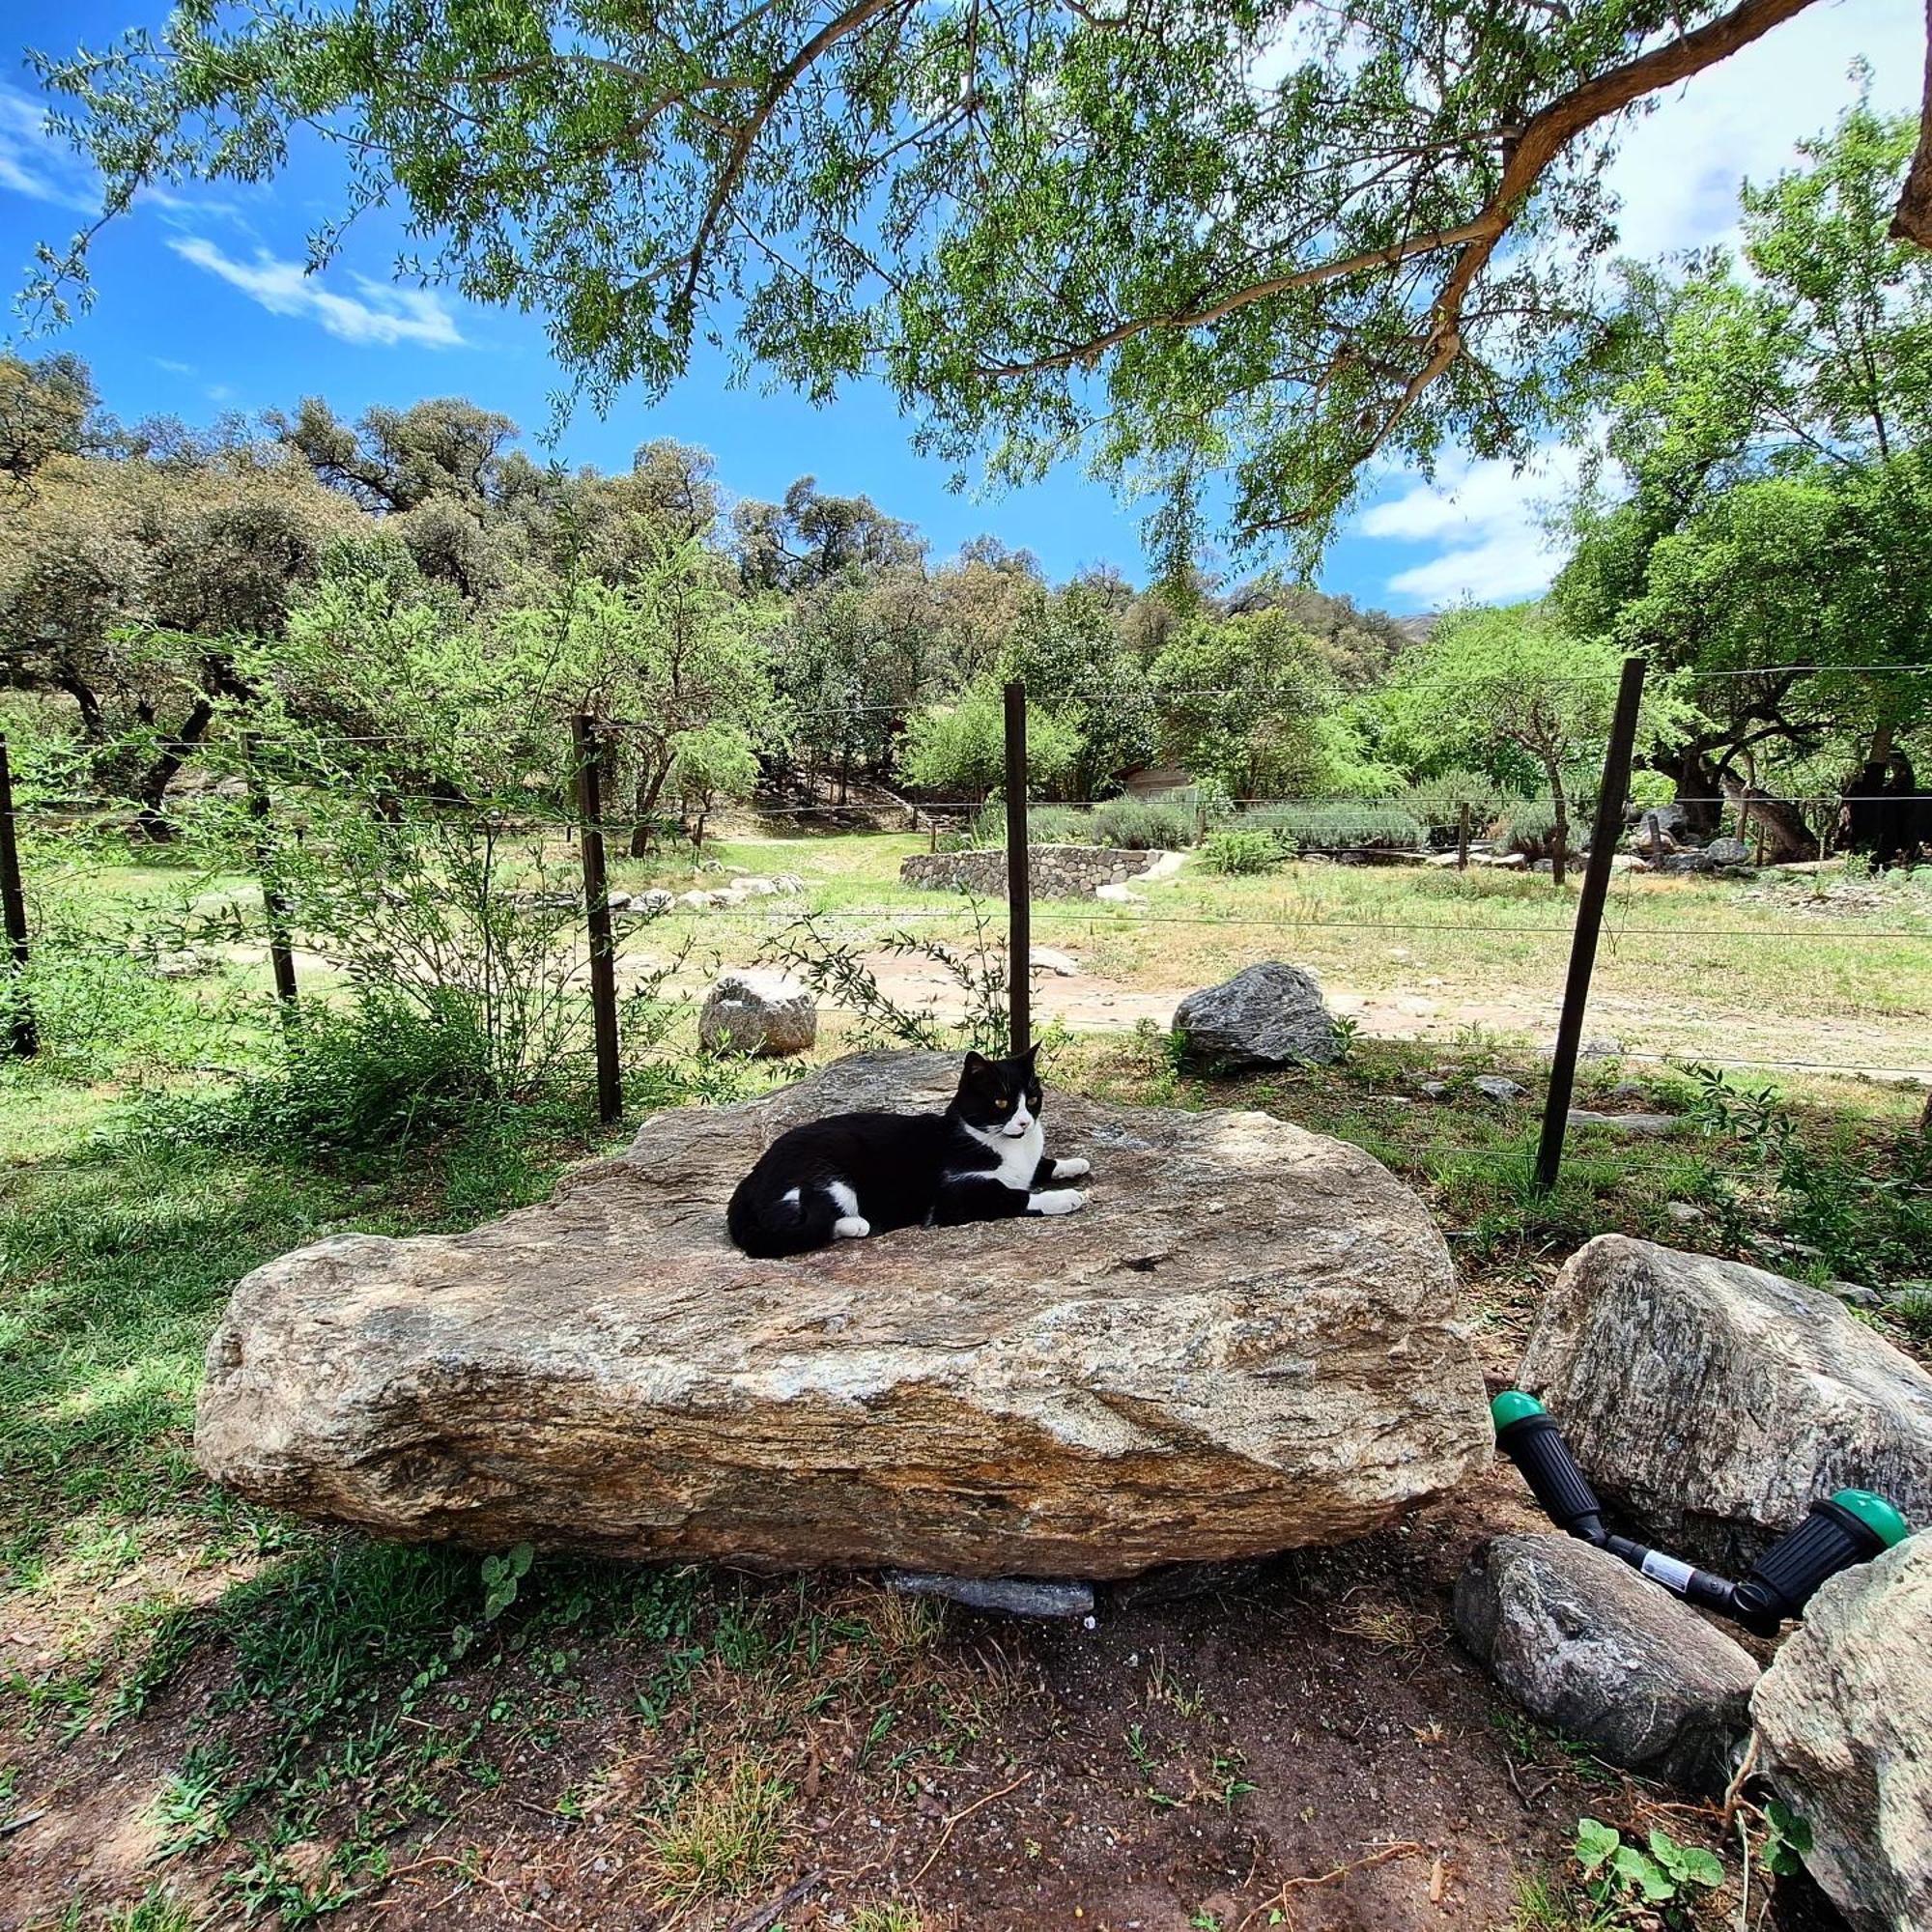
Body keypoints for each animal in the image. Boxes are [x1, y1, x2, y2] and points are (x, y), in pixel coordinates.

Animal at [726, 1051, 1097, 1260]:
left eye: (1032, 1098)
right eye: (1002, 1102)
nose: (1024, 1121)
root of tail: (748, 1181)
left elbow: (1040, 1167)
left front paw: (1071, 1163)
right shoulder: (953, 1198)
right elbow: (1015, 1196)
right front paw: (1065, 1197)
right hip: (826, 1176)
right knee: (795, 1229)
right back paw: (856, 1223)